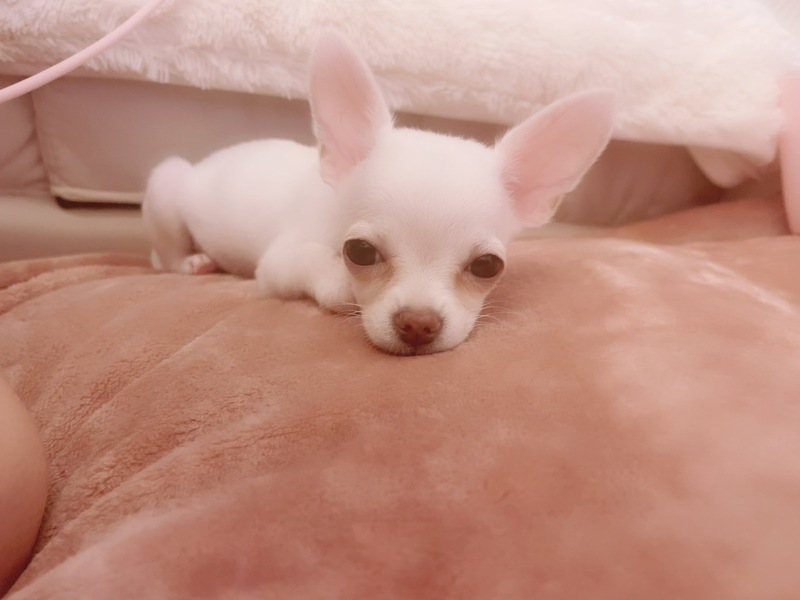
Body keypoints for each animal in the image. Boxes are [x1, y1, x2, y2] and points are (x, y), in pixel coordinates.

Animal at [142, 32, 616, 355]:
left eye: (487, 266)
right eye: (360, 252)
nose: (418, 324)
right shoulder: (275, 266)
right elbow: (315, 263)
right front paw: (342, 284)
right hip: (166, 184)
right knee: (164, 257)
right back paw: (192, 261)